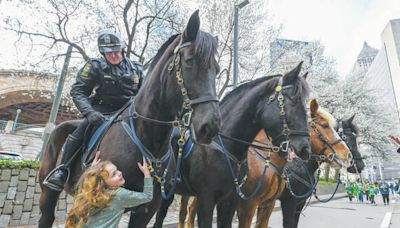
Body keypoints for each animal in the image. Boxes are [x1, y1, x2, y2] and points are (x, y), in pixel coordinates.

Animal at [38, 10, 222, 228]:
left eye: (217, 69)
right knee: (47, 216)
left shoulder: (146, 208)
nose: (210, 126)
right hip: (48, 191)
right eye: (189, 61)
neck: (147, 138)